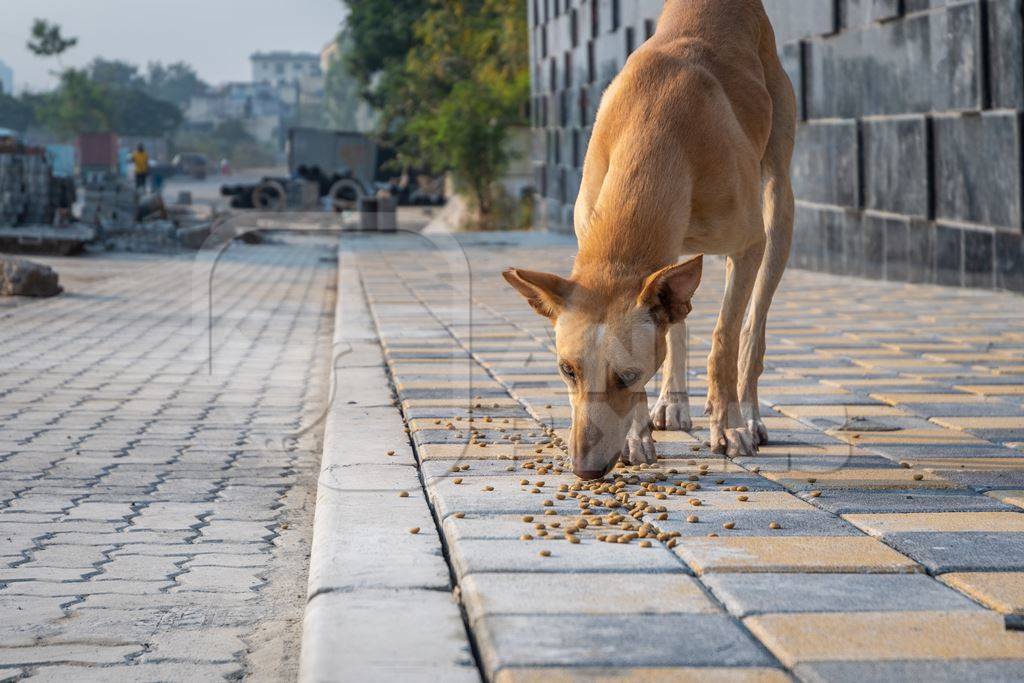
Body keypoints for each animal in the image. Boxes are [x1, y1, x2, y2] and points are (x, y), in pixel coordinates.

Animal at [501, 1, 790, 481]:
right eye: (567, 370)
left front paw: (728, 427)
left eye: (628, 376)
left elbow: (725, 339)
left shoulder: (746, 244)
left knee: (753, 325)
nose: (584, 470)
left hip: (779, 204)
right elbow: (671, 328)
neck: (655, 126)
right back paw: (673, 402)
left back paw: (747, 414)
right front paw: (638, 436)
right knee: (676, 316)